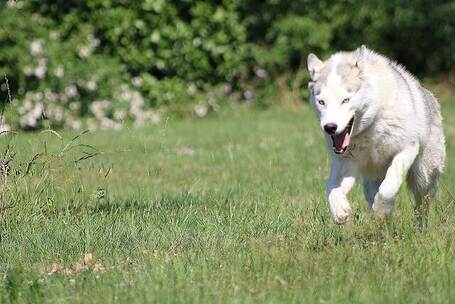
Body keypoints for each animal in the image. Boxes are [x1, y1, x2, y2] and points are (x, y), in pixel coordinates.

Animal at [308, 46, 448, 224]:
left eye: (346, 100)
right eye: (321, 102)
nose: (330, 127)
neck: (370, 127)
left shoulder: (406, 150)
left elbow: (388, 187)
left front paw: (381, 208)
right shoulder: (346, 164)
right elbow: (331, 189)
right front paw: (340, 211)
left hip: (423, 175)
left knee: (421, 205)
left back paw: (419, 226)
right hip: (371, 182)